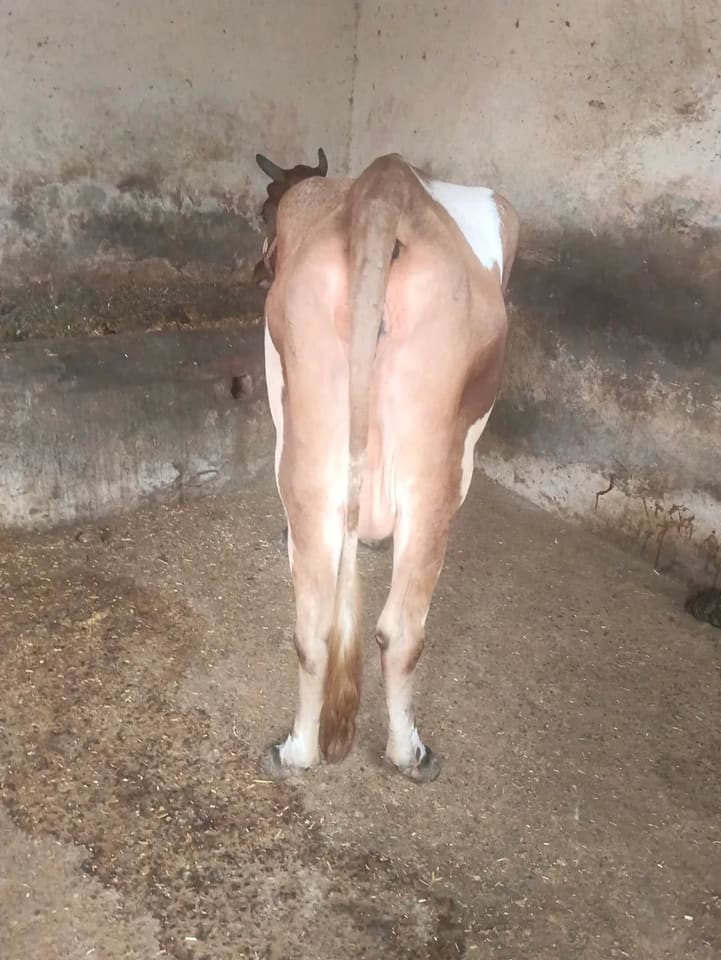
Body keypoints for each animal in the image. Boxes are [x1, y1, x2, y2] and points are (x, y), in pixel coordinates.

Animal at [261, 152, 519, 783]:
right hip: (436, 473)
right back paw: (411, 754)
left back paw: (296, 752)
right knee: (401, 631)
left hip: (309, 452)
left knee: (315, 626)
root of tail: (384, 188)